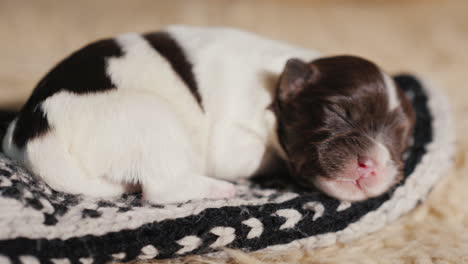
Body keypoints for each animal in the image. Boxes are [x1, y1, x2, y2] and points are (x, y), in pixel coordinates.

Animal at [1, 25, 414, 202]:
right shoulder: (231, 141)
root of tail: (35, 130)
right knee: (162, 189)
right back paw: (219, 188)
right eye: (336, 112)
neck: (275, 82)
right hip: (152, 119)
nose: (374, 166)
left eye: (402, 141)